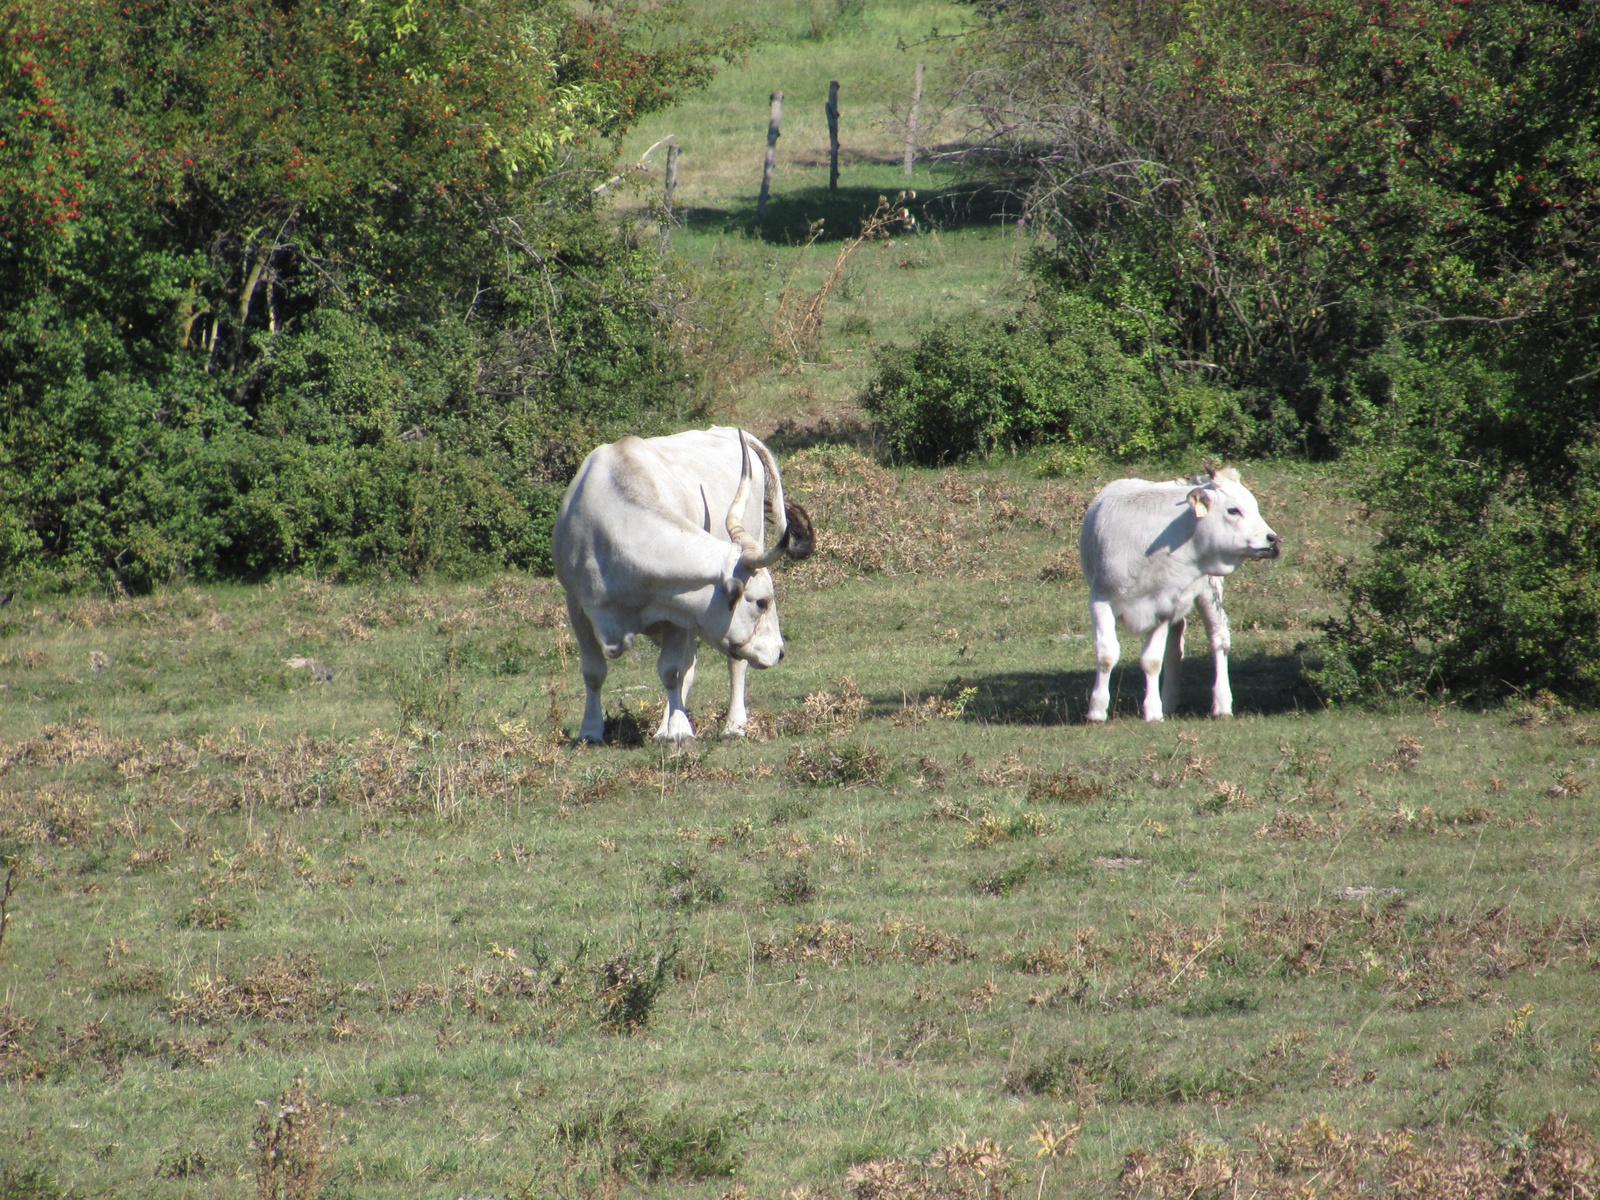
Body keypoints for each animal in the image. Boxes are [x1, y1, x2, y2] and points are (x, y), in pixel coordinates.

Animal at [556, 422, 819, 742]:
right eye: (762, 602)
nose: (779, 652)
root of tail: (727, 430)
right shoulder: (576, 605)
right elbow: (593, 671)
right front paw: (590, 730)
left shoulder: (678, 615)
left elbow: (672, 671)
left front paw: (680, 729)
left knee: (731, 663)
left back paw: (733, 724)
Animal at [1081, 470, 1280, 723]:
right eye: (1234, 510)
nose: (1272, 539)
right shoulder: (1100, 600)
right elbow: (1106, 655)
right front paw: (1097, 710)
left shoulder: (1162, 606)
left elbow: (1152, 660)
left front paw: (1152, 711)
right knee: (1176, 643)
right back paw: (1169, 700)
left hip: (1210, 592)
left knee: (1218, 638)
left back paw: (1222, 704)